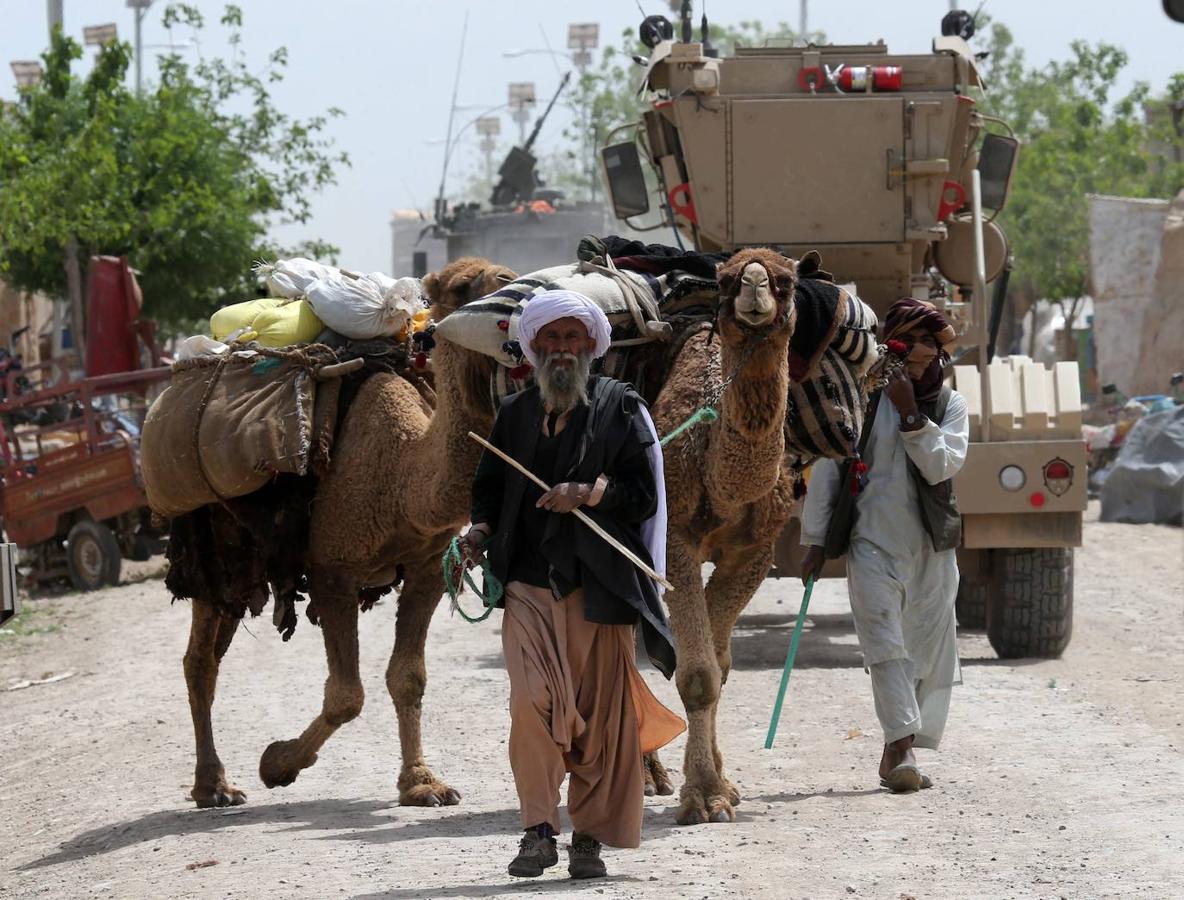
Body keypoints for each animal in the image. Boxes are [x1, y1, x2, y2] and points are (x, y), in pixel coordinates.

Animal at [182, 254, 516, 810]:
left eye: (500, 269)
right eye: (462, 285)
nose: (511, 282)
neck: (403, 474)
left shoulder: (428, 564)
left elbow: (408, 677)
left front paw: (422, 783)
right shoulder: (332, 570)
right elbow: (346, 694)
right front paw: (277, 763)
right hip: (215, 553)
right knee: (199, 662)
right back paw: (214, 786)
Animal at [644, 243, 800, 824]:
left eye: (785, 282)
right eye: (729, 279)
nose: (754, 289)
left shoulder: (754, 551)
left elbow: (720, 663)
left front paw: (722, 786)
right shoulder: (675, 542)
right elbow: (698, 676)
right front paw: (702, 796)